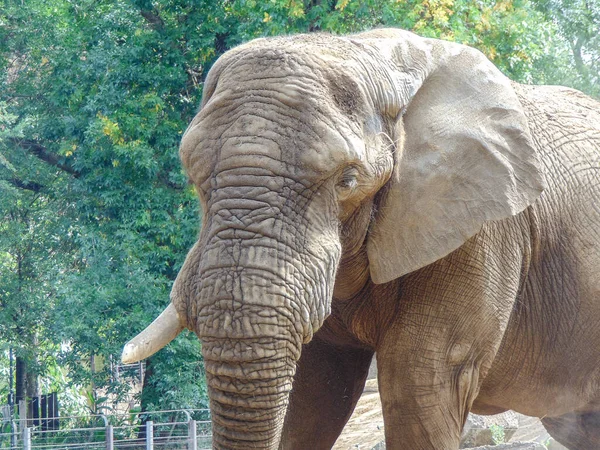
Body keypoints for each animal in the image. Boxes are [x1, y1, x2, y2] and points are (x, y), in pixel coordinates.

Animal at [120, 29, 600, 450]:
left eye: (347, 181)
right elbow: (317, 390)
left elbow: (420, 381)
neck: (371, 55)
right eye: (192, 178)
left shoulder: (479, 228)